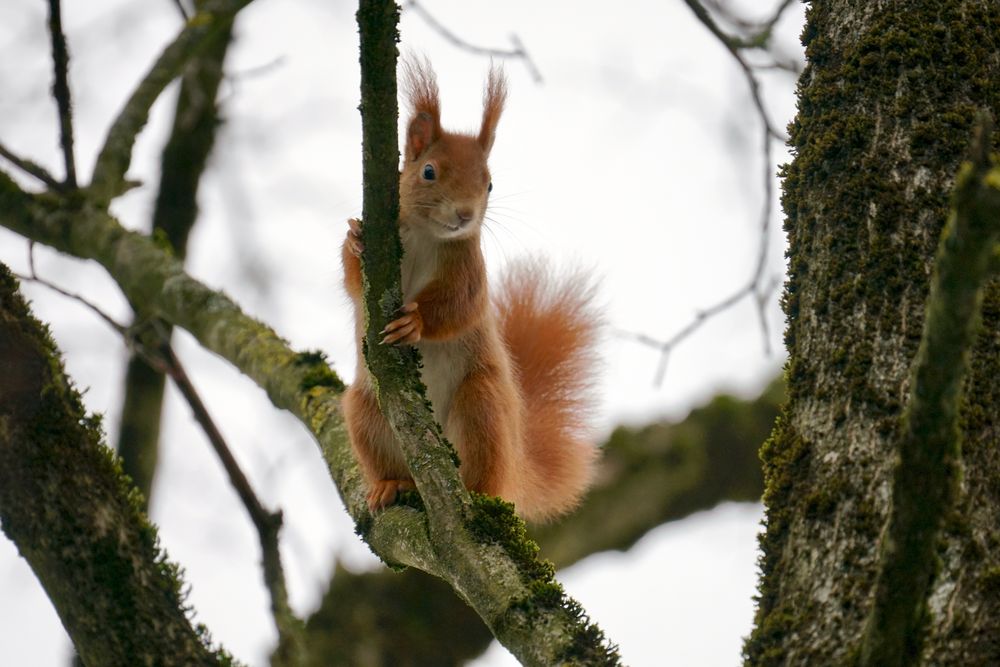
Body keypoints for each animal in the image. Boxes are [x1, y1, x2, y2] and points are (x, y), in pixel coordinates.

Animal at [340, 61, 596, 520]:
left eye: (489, 184)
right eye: (428, 171)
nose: (464, 215)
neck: (427, 234)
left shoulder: (469, 268)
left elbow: (461, 307)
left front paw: (415, 322)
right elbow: (354, 285)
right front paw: (355, 238)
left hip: (482, 405)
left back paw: (477, 494)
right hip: (365, 409)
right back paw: (392, 484)